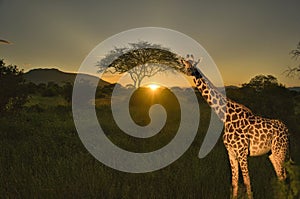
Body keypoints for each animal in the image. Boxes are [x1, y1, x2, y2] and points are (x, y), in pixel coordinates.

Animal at [180, 56, 288, 199]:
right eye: (185, 64)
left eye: (194, 65)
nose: (188, 71)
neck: (226, 117)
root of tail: (286, 130)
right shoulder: (231, 152)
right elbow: (234, 182)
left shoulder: (242, 152)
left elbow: (247, 181)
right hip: (272, 153)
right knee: (280, 175)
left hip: (280, 150)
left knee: (283, 175)